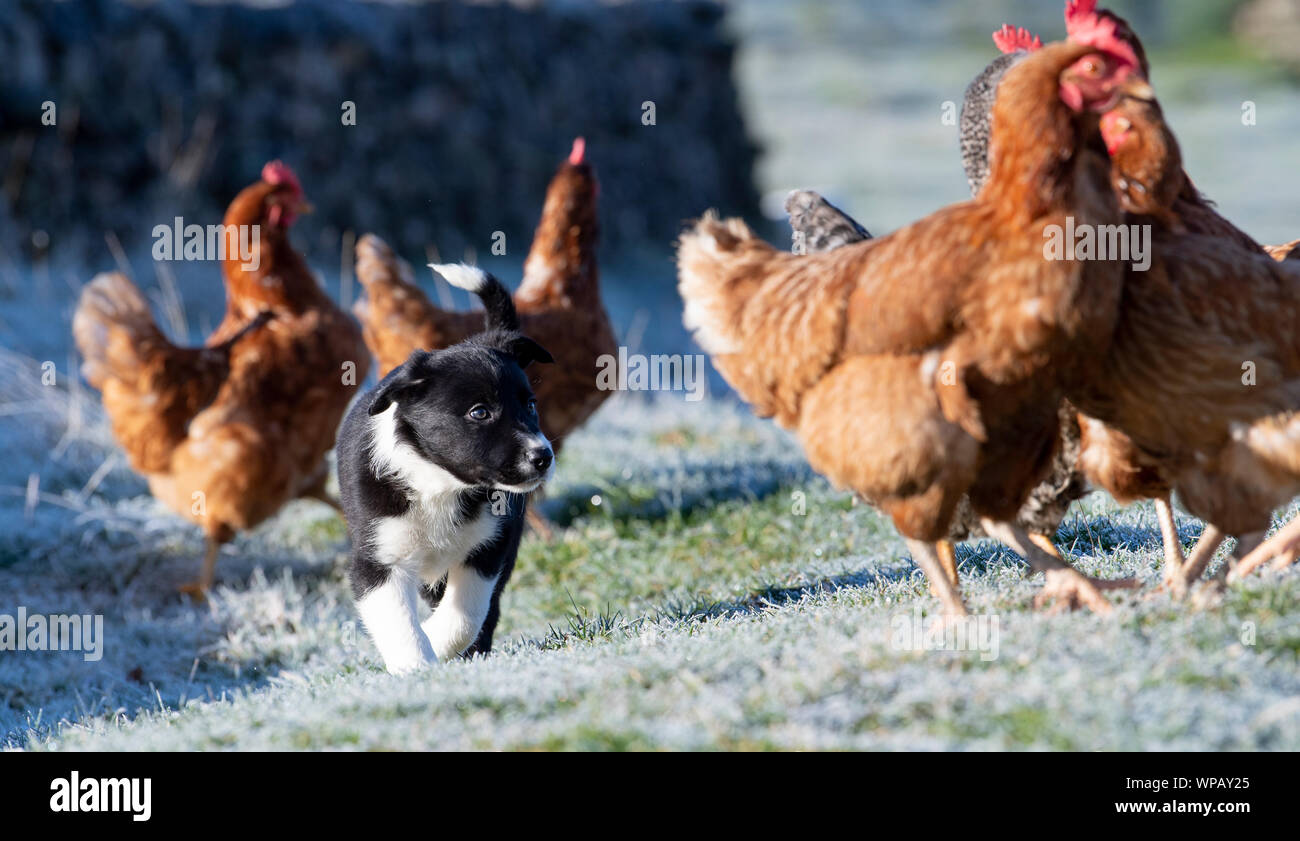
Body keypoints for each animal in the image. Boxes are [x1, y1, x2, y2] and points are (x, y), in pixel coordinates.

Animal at [338, 266, 551, 675]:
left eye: (531, 405)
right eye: (479, 412)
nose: (543, 456)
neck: (440, 484)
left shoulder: (489, 548)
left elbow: (465, 615)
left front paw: (436, 641)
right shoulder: (377, 561)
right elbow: (399, 623)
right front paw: (417, 666)